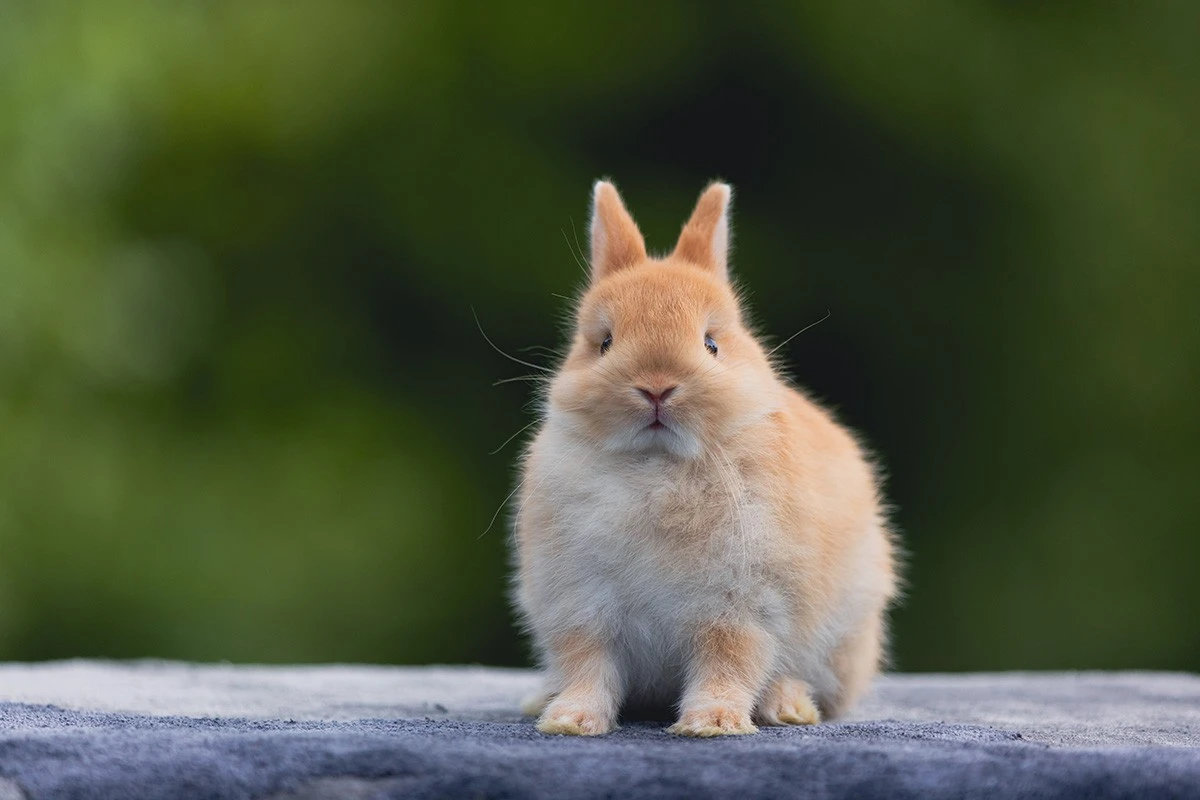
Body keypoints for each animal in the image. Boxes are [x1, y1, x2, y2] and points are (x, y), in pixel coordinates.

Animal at [510, 180, 898, 737]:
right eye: (604, 343)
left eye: (712, 343)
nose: (656, 387)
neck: (656, 464)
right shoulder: (581, 605)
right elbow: (587, 664)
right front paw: (569, 720)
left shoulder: (740, 605)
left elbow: (729, 661)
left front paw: (710, 724)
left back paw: (789, 707)